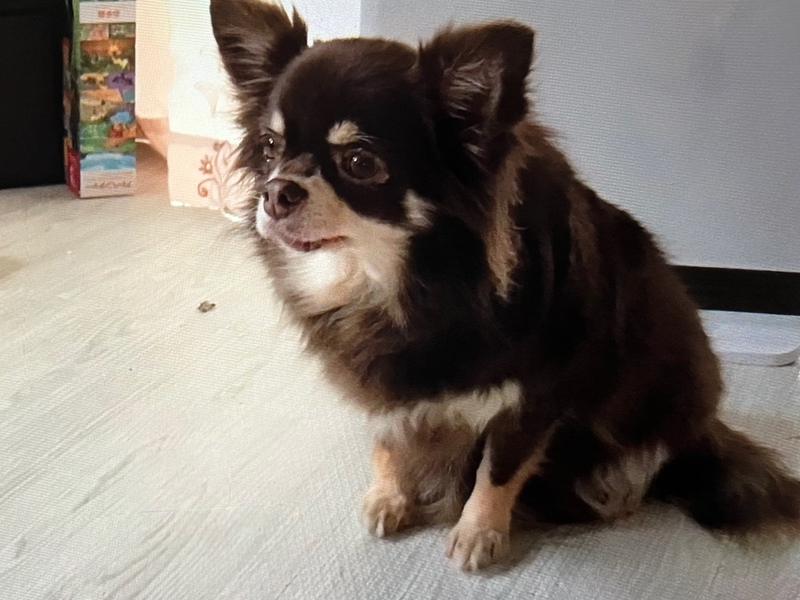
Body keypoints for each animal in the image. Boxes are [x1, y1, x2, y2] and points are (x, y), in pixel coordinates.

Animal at [211, 0, 800, 571]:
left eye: (360, 162)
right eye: (269, 147)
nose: (276, 192)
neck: (396, 284)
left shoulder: (537, 394)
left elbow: (498, 467)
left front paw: (479, 532)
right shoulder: (382, 378)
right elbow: (389, 438)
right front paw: (390, 494)